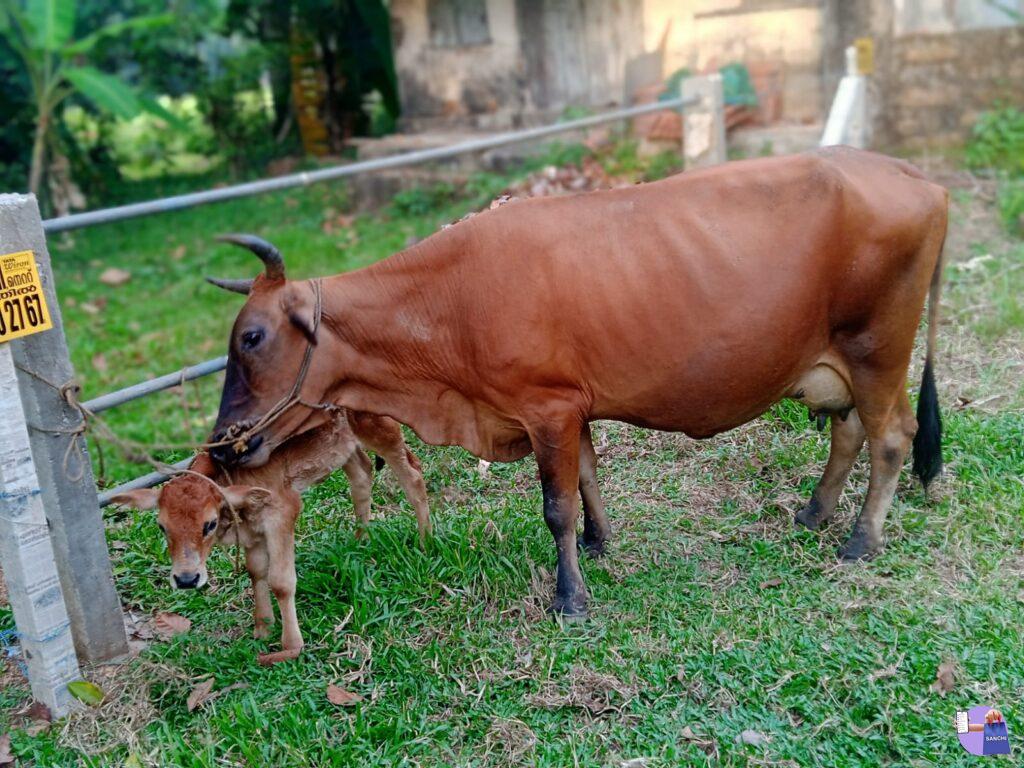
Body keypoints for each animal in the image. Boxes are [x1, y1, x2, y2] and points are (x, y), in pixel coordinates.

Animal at [111, 409, 430, 663]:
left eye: (209, 524)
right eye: (162, 527)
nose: (187, 579)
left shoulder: (282, 512)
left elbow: (281, 581)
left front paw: (291, 645)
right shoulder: (253, 530)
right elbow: (256, 572)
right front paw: (262, 627)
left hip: (380, 427)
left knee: (413, 474)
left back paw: (425, 539)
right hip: (342, 445)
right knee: (362, 475)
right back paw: (361, 539)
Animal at [204, 147, 947, 619]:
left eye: (252, 338)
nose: (222, 445)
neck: (449, 303)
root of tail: (914, 174)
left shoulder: (547, 407)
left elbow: (556, 506)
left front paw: (570, 596)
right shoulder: (570, 410)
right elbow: (588, 475)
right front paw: (599, 542)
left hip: (877, 349)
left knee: (891, 437)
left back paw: (861, 540)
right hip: (838, 364)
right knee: (850, 433)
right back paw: (816, 511)